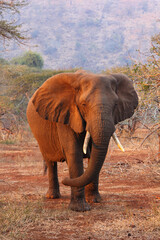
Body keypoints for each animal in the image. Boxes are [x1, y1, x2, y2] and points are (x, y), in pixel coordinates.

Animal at [26, 70, 138, 212]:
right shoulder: (66, 115)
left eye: (116, 105)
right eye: (84, 104)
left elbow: (95, 155)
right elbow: (74, 154)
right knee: (50, 162)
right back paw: (52, 196)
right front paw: (80, 208)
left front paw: (95, 200)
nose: (65, 179)